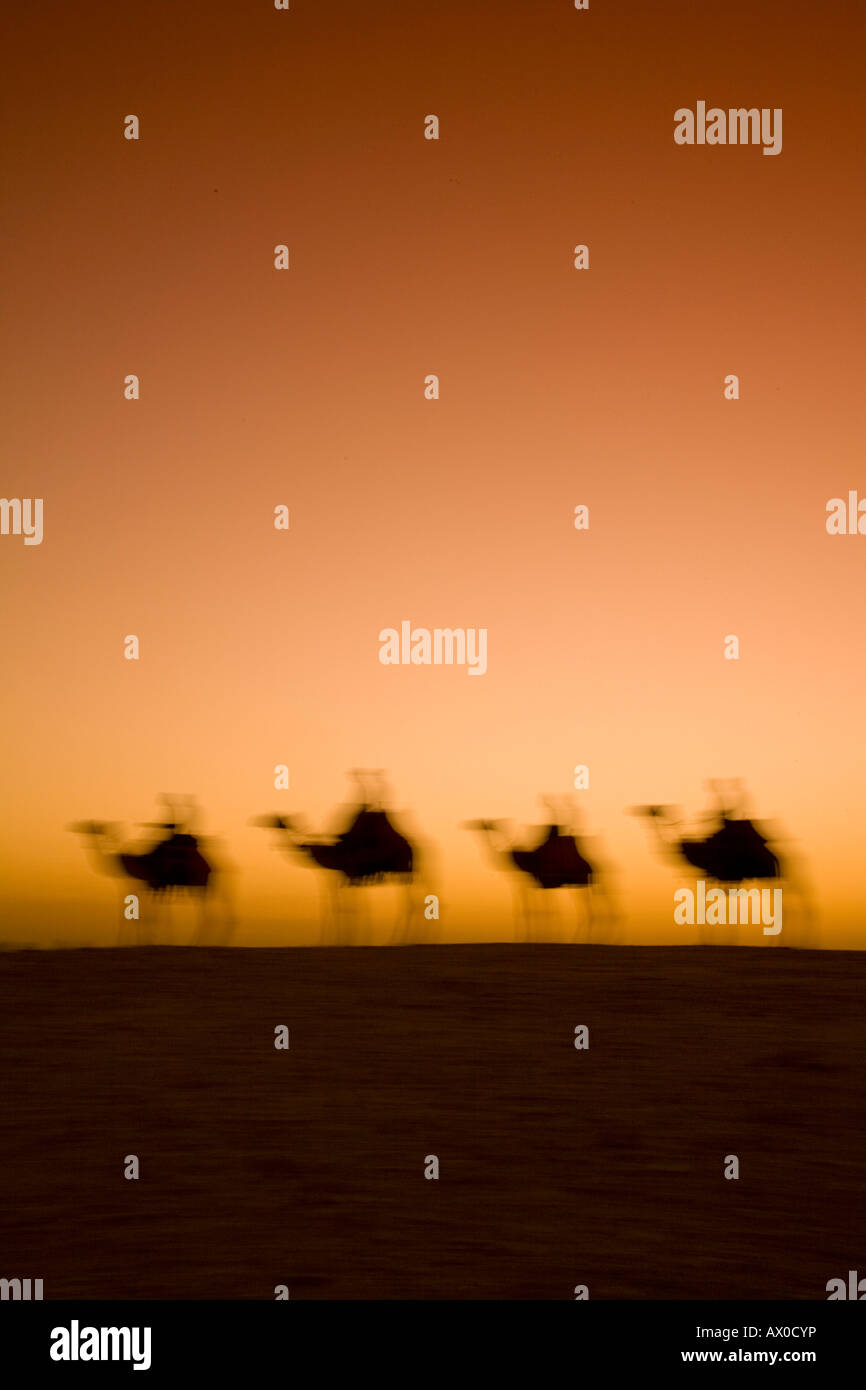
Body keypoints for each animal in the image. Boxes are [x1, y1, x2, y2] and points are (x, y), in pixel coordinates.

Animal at [69, 795, 233, 945]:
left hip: (197, 884)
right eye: (89, 827)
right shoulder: (151, 886)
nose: (75, 827)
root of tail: (210, 866)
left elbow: (147, 915)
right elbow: (152, 913)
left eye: (95, 828)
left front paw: (139, 941)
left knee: (205, 914)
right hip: (203, 885)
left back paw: (196, 942)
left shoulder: (147, 884)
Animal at [255, 772, 430, 945]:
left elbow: (340, 908)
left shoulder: (342, 875)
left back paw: (400, 940)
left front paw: (335, 940)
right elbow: (345, 907)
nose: (257, 821)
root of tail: (413, 849)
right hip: (404, 873)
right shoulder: (343, 877)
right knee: (413, 902)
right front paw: (355, 939)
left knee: (409, 904)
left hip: (403, 871)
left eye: (277, 819)